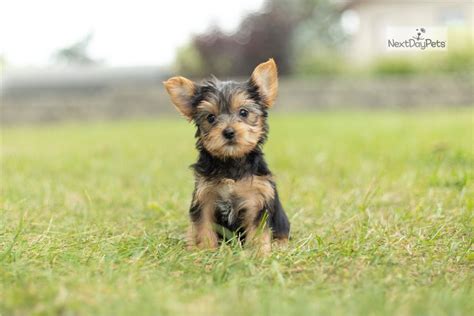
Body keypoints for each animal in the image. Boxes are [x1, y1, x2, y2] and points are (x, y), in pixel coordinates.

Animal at [164, 58, 288, 253]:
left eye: (244, 112)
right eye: (211, 118)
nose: (228, 132)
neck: (231, 161)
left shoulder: (257, 199)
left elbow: (258, 232)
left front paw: (259, 254)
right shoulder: (205, 198)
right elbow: (204, 227)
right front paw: (206, 250)